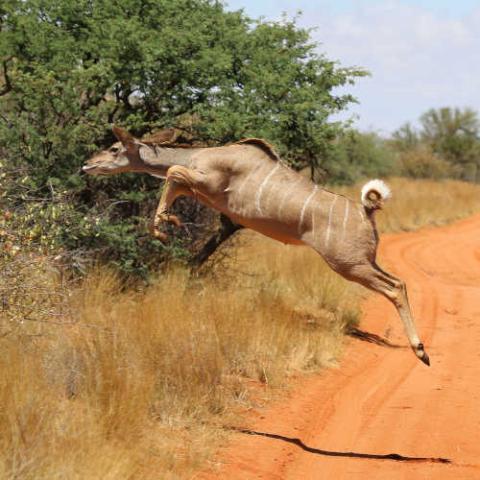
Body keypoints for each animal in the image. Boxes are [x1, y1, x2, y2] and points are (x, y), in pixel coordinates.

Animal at [83, 125, 432, 366]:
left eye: (114, 148)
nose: (87, 165)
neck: (199, 154)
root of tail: (366, 210)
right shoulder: (192, 187)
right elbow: (172, 181)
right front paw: (167, 227)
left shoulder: (207, 182)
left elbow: (171, 171)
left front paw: (165, 228)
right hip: (363, 261)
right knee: (398, 281)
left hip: (348, 264)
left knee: (394, 287)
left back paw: (421, 351)